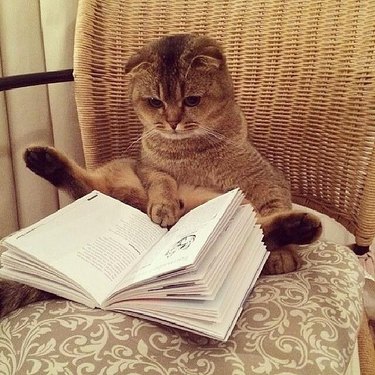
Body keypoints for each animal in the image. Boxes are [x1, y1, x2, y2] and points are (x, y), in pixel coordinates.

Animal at [124, 32, 324, 274]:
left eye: (192, 100)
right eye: (155, 102)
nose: (172, 123)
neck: (189, 151)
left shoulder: (266, 178)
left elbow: (274, 204)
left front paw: (283, 253)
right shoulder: (144, 166)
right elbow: (162, 179)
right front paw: (164, 206)